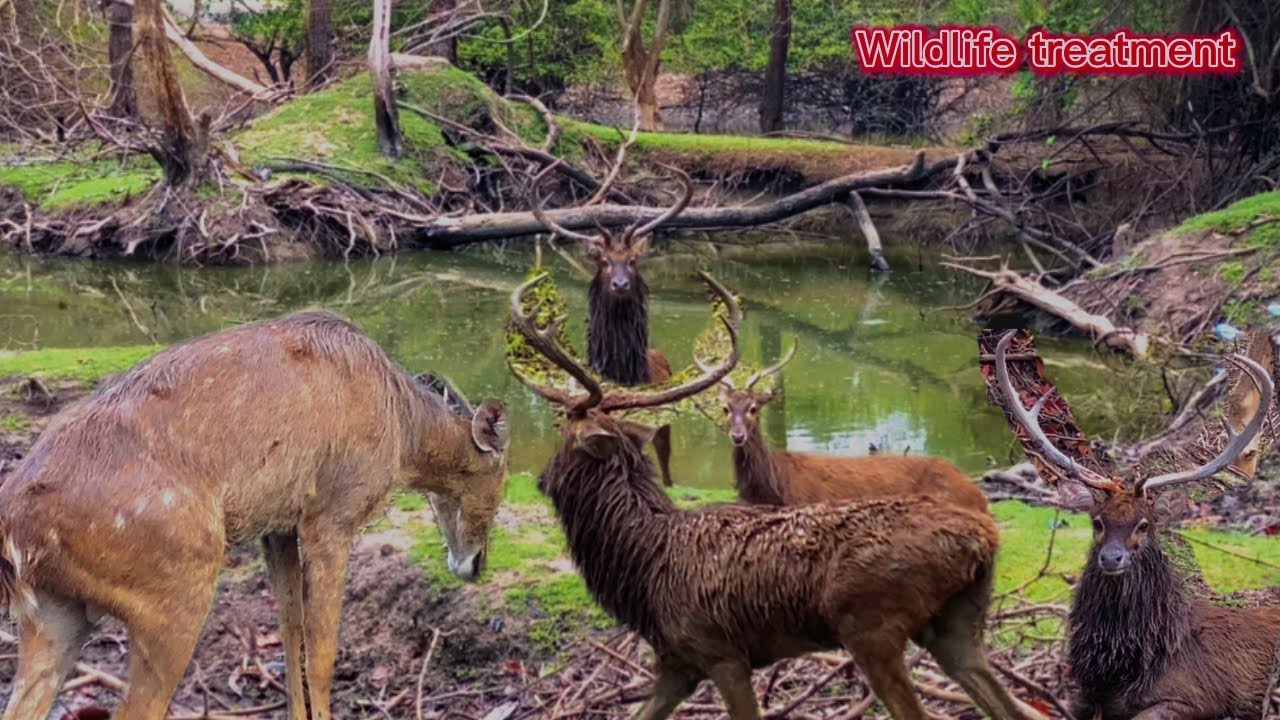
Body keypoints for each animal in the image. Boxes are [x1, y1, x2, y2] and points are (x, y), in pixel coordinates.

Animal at [0, 311, 511, 720]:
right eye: (500, 478)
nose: (475, 564)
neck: (402, 429)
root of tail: (14, 531)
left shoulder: (279, 525)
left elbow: (290, 629)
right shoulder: (333, 512)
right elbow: (322, 650)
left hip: (54, 614)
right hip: (175, 591)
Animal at [988, 329, 1280, 720]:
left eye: (1144, 525)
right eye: (1097, 523)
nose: (1112, 558)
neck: (1120, 670)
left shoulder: (1196, 696)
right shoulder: (1080, 695)